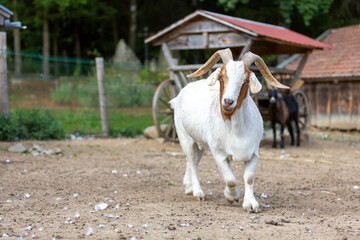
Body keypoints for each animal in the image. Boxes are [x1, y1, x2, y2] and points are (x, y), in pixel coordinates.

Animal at [169, 49, 290, 212]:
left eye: (245, 80)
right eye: (221, 77)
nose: (228, 101)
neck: (236, 129)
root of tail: (179, 96)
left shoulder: (254, 152)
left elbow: (249, 178)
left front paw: (251, 204)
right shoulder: (218, 153)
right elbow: (231, 179)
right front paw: (232, 196)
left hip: (200, 143)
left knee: (192, 161)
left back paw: (188, 187)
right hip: (185, 138)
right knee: (192, 162)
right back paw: (198, 192)